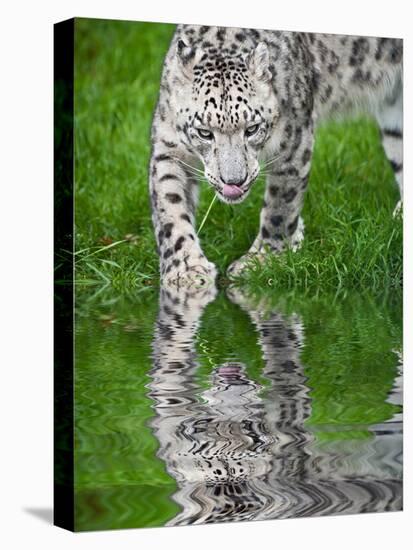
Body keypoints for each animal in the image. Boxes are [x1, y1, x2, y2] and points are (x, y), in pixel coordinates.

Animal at [149, 23, 402, 286]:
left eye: (252, 129)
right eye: (204, 132)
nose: (234, 182)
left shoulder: (294, 141)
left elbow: (281, 205)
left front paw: (262, 259)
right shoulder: (169, 149)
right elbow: (170, 208)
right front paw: (186, 270)